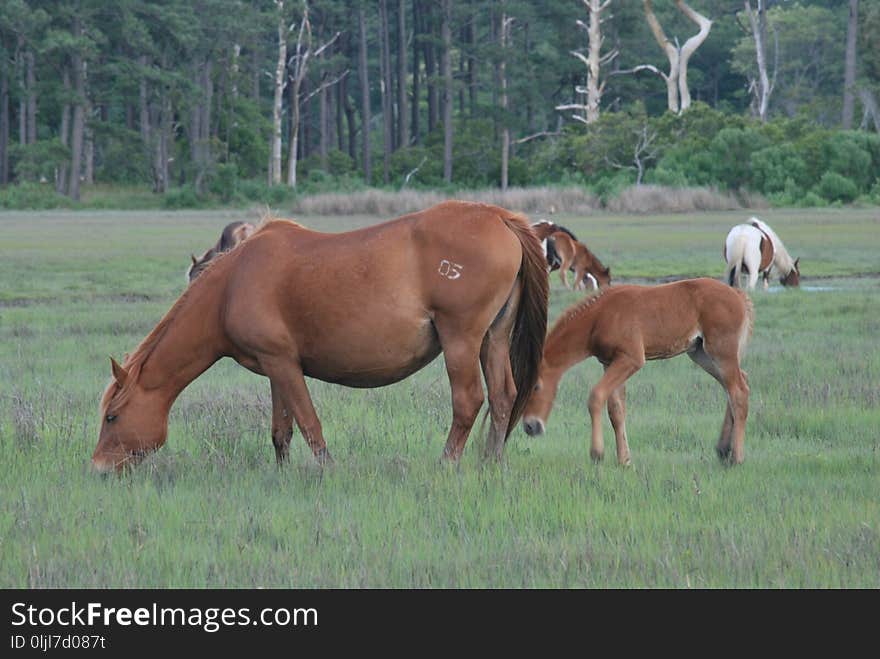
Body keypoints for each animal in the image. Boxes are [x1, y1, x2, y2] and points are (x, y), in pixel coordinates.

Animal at [93, 201, 548, 474]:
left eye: (112, 416)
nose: (98, 467)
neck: (232, 284)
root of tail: (499, 217)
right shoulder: (276, 366)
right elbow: (281, 431)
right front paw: (281, 475)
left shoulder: (283, 364)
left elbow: (309, 424)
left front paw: (327, 472)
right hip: (493, 339)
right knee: (503, 396)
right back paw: (490, 463)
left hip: (461, 341)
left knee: (468, 401)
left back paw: (447, 464)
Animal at [524, 282, 756, 466]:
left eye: (536, 386)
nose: (530, 426)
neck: (600, 316)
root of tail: (738, 295)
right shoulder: (609, 362)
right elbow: (616, 410)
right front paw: (624, 460)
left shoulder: (631, 359)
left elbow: (596, 395)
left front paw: (597, 453)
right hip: (701, 353)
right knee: (737, 383)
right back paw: (723, 449)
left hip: (721, 351)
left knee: (738, 391)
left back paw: (736, 457)